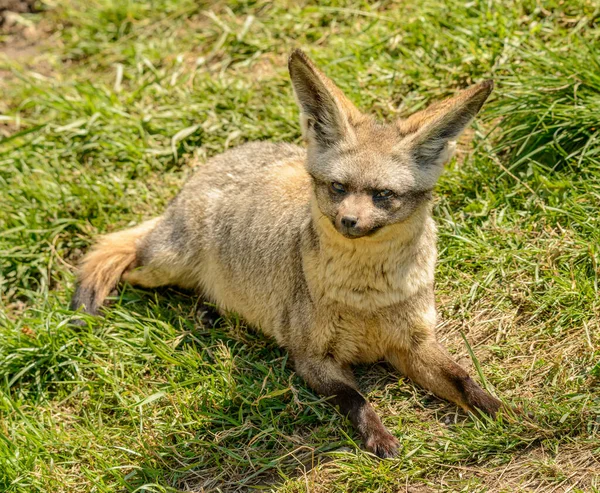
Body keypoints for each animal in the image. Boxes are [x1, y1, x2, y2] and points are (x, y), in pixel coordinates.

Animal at [70, 50, 502, 458]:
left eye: (383, 195)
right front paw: (379, 438)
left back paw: (211, 308)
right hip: (162, 265)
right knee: (130, 264)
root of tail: (208, 166)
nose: (348, 221)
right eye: (338, 187)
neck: (366, 300)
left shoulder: (413, 343)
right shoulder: (310, 358)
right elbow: (357, 400)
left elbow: (464, 380)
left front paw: (507, 415)